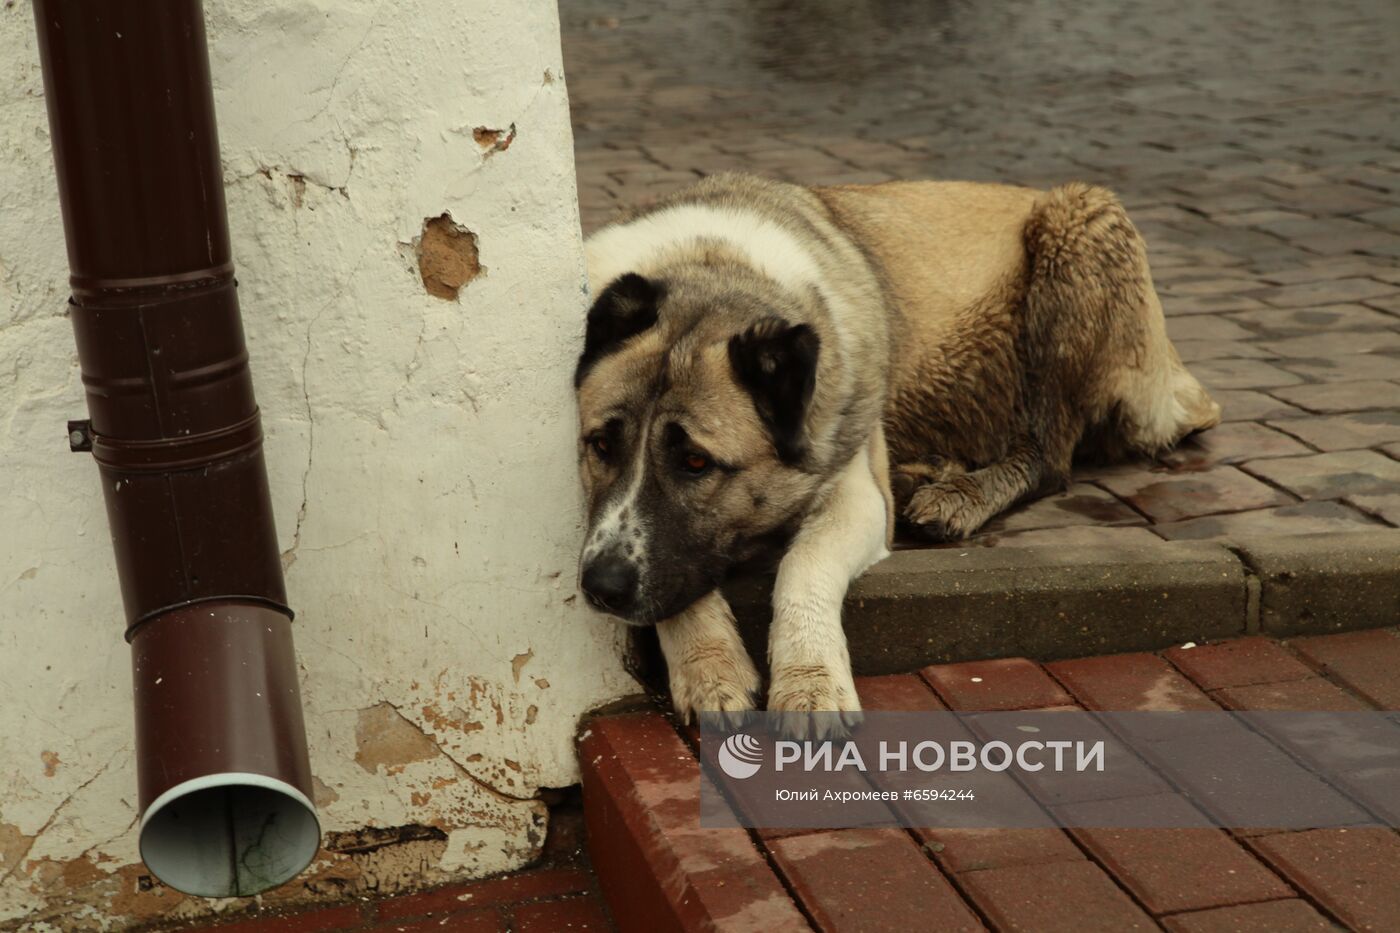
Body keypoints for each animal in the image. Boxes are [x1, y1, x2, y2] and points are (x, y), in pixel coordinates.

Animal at [574, 170, 1220, 717]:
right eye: (601, 446)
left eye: (695, 462)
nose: (599, 589)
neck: (711, 265)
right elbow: (677, 582)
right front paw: (709, 668)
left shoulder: (854, 492)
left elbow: (802, 567)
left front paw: (810, 682)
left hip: (1075, 234)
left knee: (1051, 457)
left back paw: (958, 495)